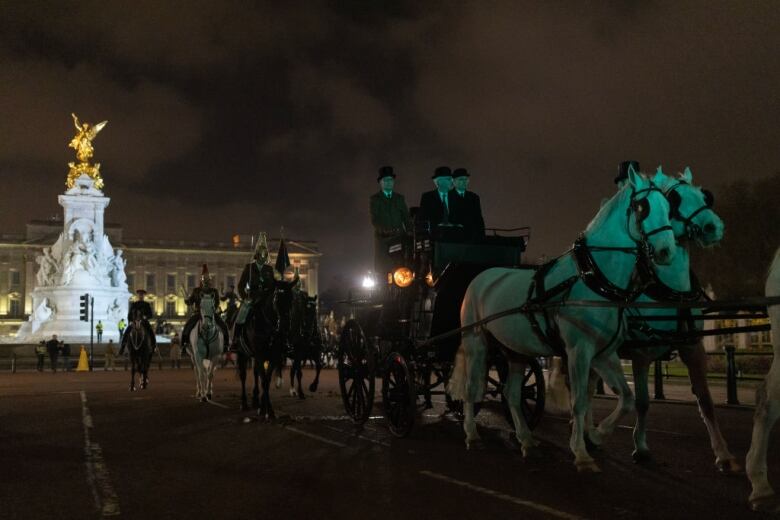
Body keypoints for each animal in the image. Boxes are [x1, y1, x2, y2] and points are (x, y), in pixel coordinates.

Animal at [448, 167, 680, 472]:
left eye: (668, 207)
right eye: (642, 207)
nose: (667, 252)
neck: (592, 281)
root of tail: (481, 277)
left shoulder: (604, 354)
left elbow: (627, 398)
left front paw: (597, 433)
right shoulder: (579, 350)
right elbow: (579, 401)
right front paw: (581, 452)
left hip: (515, 351)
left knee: (511, 394)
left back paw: (526, 439)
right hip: (477, 344)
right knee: (472, 388)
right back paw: (472, 435)